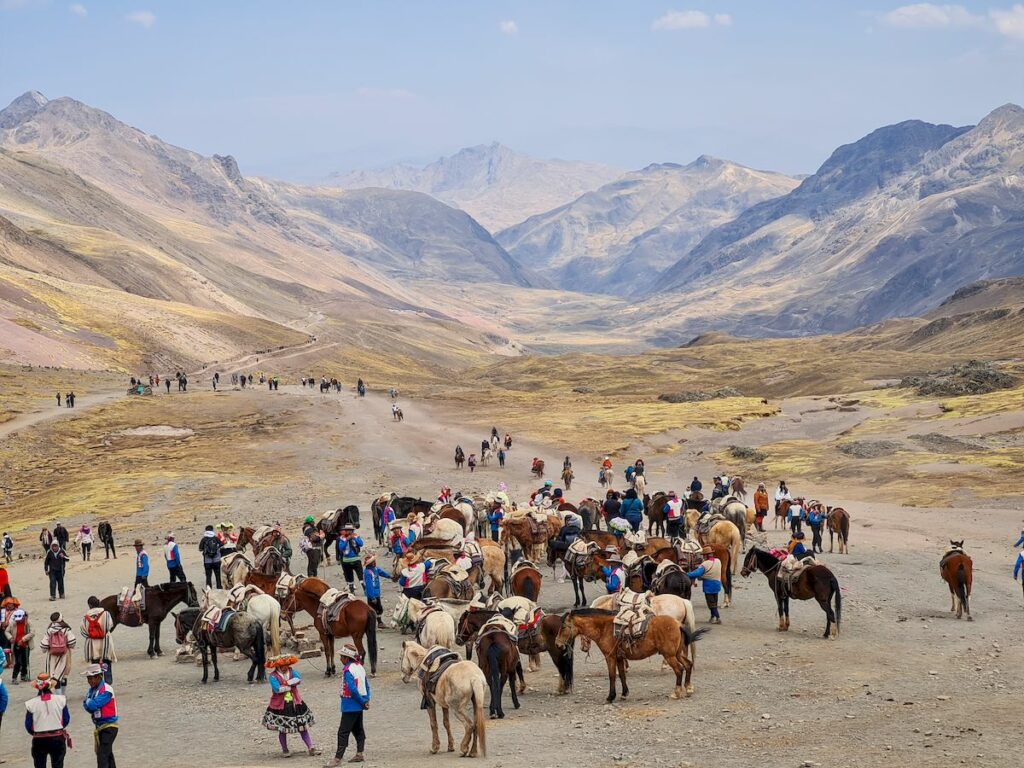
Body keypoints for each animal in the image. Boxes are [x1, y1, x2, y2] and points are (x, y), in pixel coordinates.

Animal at [552, 610, 704, 708]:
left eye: (563, 627)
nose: (557, 644)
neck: (604, 628)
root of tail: (677, 624)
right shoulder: (620, 658)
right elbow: (622, 675)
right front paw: (624, 694)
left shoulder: (610, 657)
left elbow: (612, 676)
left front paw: (610, 697)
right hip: (677, 654)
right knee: (688, 665)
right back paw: (688, 688)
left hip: (670, 656)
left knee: (679, 669)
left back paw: (676, 692)